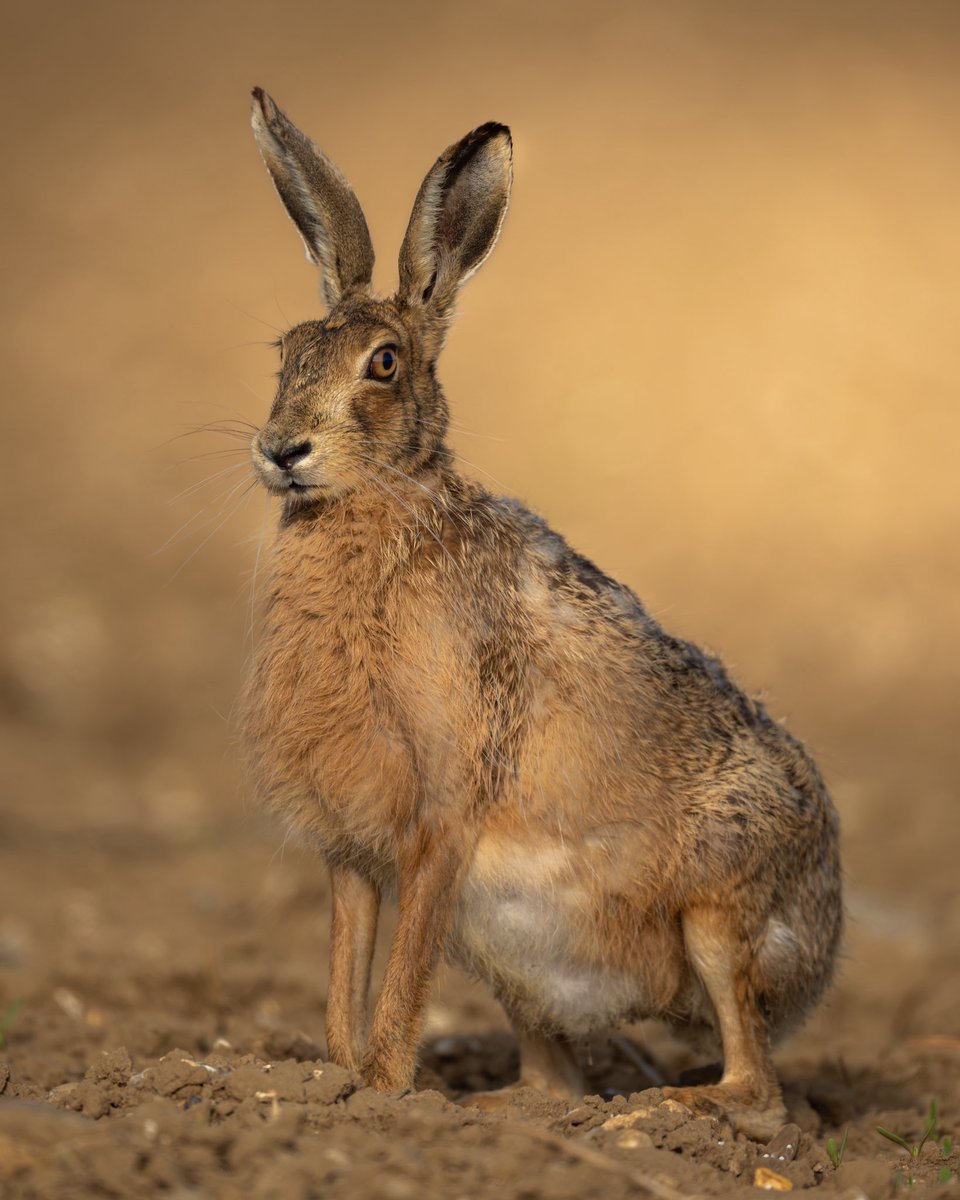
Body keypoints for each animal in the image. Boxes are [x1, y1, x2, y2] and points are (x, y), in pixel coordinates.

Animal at [241, 87, 843, 1139]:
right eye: (287, 353)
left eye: (383, 363)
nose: (282, 449)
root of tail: (829, 946)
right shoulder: (348, 846)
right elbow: (345, 973)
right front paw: (335, 1080)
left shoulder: (439, 817)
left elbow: (398, 982)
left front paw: (384, 1094)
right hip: (516, 964)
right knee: (555, 1076)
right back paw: (510, 1112)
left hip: (719, 915)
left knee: (758, 1091)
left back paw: (652, 1113)